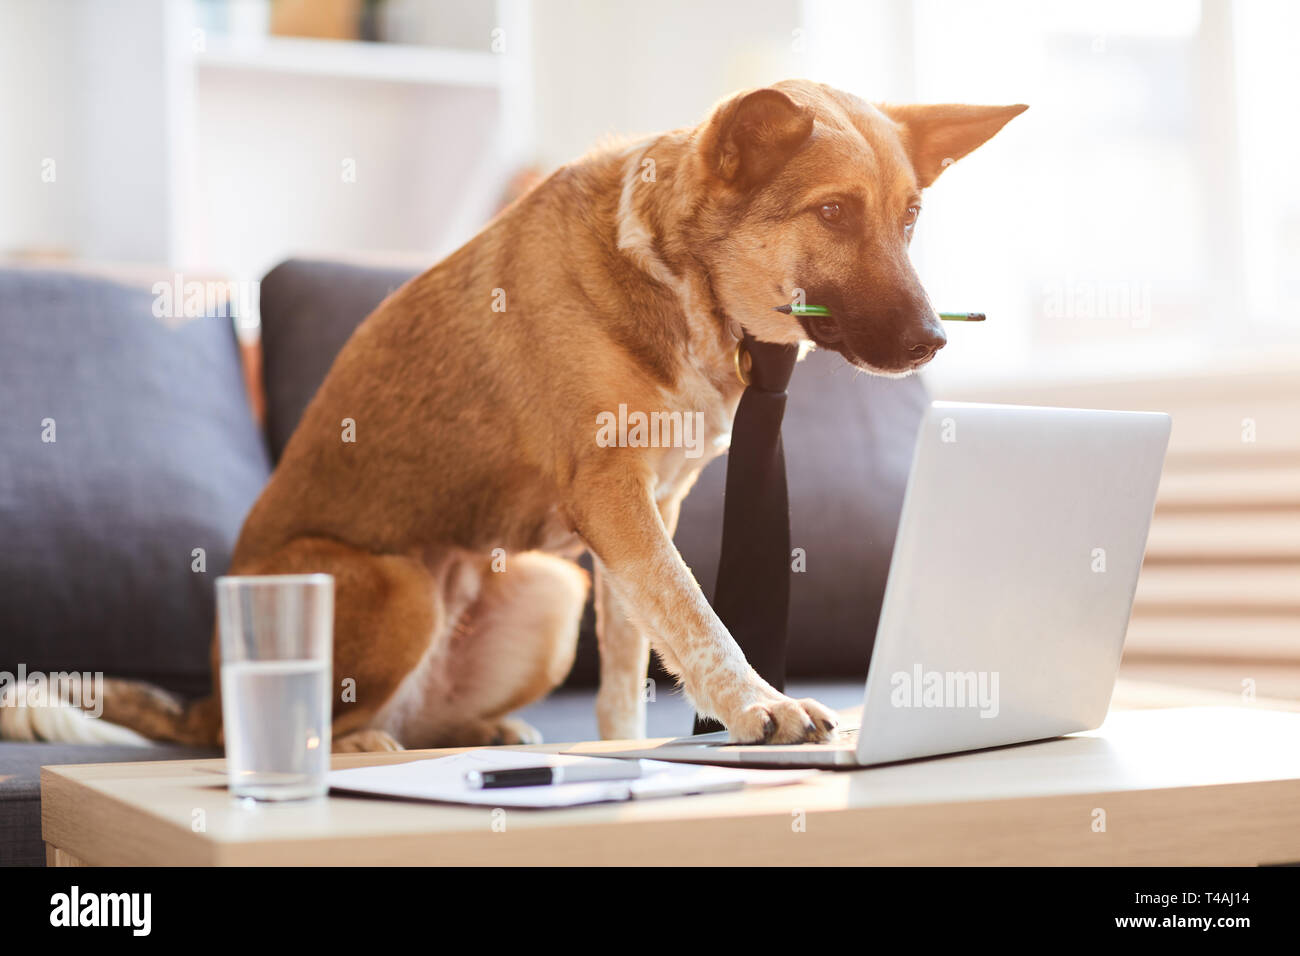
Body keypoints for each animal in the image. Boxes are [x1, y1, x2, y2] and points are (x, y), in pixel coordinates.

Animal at [15, 80, 1019, 754]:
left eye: (910, 217)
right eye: (834, 211)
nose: (934, 341)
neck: (676, 277)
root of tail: (206, 703)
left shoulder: (646, 517)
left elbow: (636, 653)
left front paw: (625, 751)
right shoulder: (614, 497)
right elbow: (694, 611)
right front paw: (756, 704)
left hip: (545, 589)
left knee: (430, 719)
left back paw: (484, 734)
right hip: (399, 586)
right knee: (297, 723)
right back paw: (356, 744)